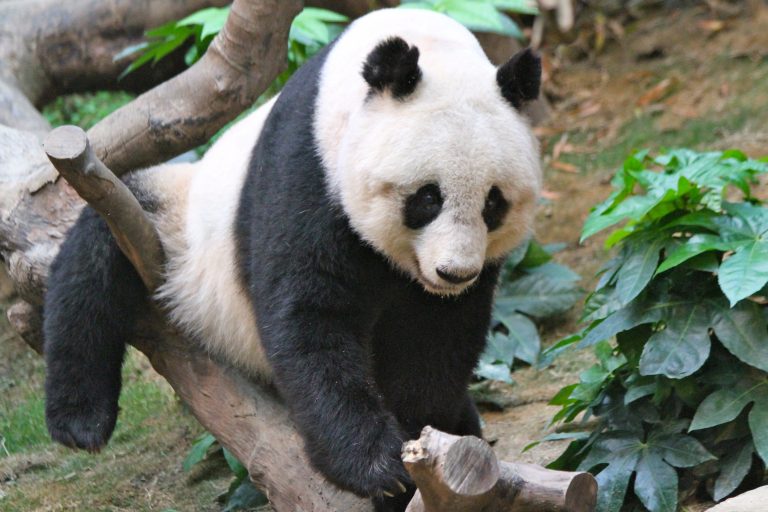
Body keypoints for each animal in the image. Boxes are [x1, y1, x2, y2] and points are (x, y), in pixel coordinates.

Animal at [42, 6, 544, 510]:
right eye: (427, 198)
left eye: (493, 203)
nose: (453, 272)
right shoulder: (307, 167)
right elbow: (309, 315)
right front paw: (377, 467)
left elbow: (433, 340)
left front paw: (414, 451)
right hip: (172, 228)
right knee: (92, 265)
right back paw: (80, 421)